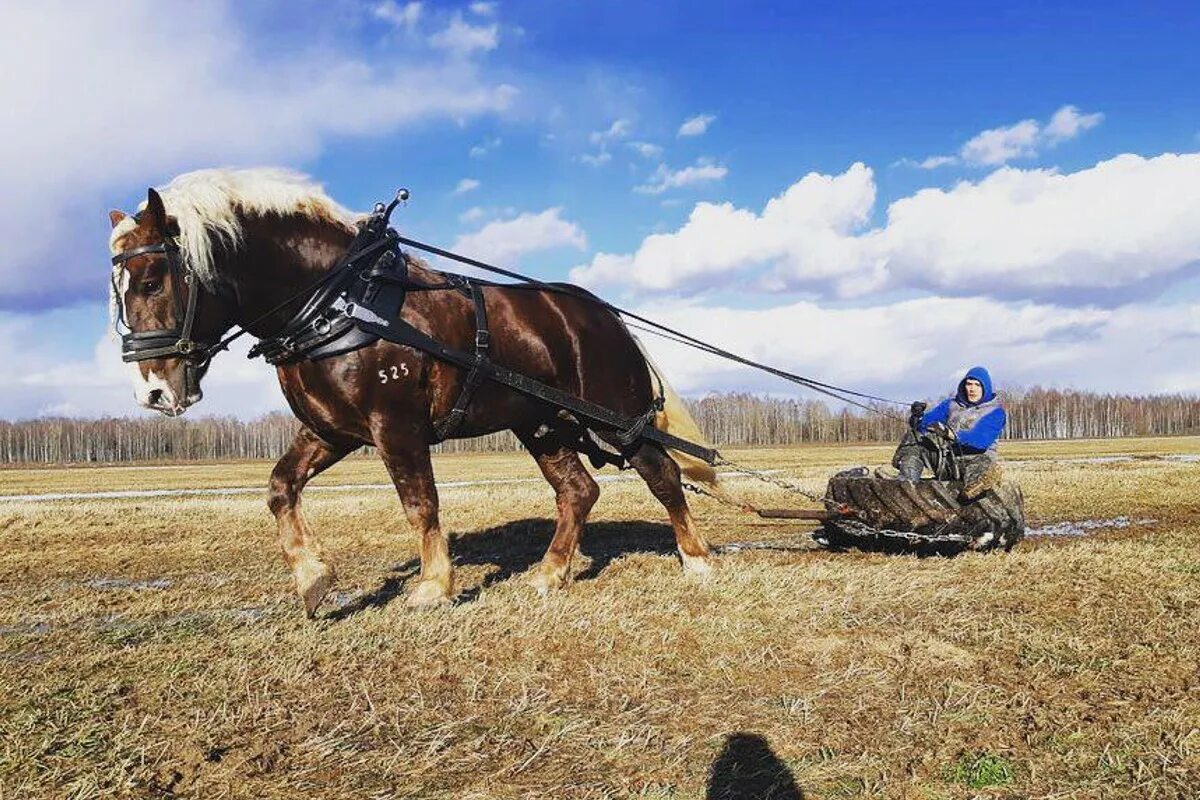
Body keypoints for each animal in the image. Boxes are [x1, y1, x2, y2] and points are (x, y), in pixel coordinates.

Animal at [108, 167, 715, 618]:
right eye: (117, 290)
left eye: (152, 282)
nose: (153, 392)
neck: (340, 300)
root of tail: (604, 314)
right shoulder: (331, 429)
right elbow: (281, 486)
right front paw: (313, 578)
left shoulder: (394, 424)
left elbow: (420, 502)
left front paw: (432, 586)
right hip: (540, 423)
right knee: (578, 491)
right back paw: (550, 574)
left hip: (617, 416)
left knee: (663, 475)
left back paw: (697, 559)